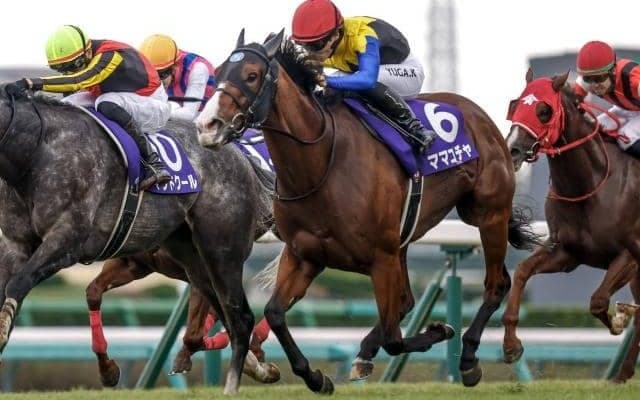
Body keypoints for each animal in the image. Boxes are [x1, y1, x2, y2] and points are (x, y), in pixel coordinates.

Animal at [194, 30, 541, 393]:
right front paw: (316, 377)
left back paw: (470, 358)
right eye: (220, 72)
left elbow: (394, 339)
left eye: (251, 75)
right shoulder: (304, 254)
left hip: (488, 213)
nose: (207, 126)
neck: (320, 164)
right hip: (406, 240)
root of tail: (479, 115)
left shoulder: (380, 257)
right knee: (407, 301)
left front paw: (441, 329)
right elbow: (275, 314)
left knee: (495, 283)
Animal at [503, 69, 640, 383]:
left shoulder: (629, 254)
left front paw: (619, 318)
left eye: (543, 111)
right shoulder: (567, 253)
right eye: (515, 106)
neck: (592, 183)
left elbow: (598, 300)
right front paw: (511, 345)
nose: (512, 150)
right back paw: (621, 375)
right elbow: (522, 272)